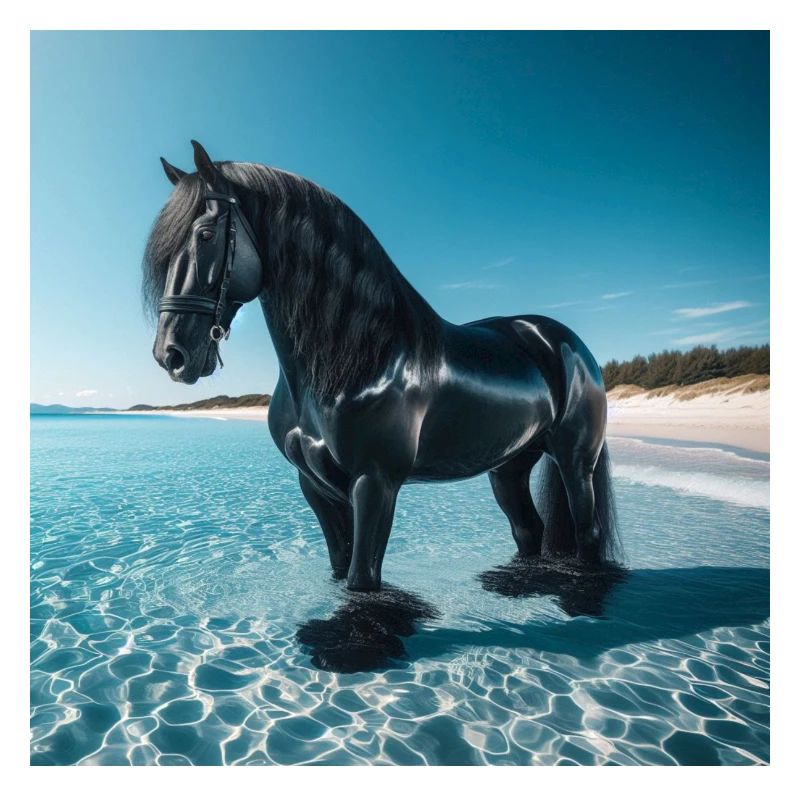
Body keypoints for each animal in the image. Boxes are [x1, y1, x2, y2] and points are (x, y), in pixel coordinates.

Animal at [144, 140, 620, 592]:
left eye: (206, 234)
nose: (171, 354)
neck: (356, 357)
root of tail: (566, 343)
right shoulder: (315, 486)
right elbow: (340, 568)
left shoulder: (375, 484)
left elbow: (362, 580)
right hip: (508, 466)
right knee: (528, 530)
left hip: (576, 463)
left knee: (587, 533)